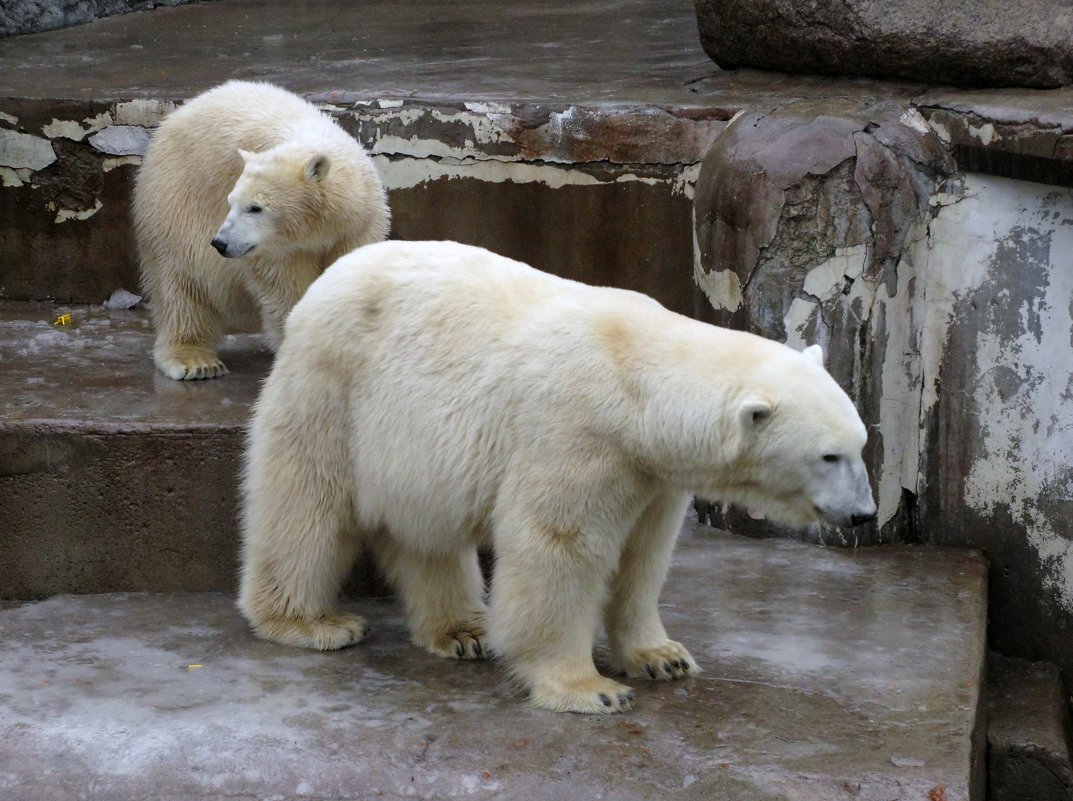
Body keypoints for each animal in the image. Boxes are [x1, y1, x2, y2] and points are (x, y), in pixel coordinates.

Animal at [131, 79, 388, 381]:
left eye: (255, 207)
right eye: (231, 202)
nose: (220, 243)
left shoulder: (359, 225)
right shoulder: (276, 249)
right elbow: (285, 288)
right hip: (174, 202)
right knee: (182, 283)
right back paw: (195, 361)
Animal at [239, 240, 875, 716]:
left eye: (861, 445)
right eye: (828, 456)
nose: (864, 514)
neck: (638, 384)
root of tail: (328, 277)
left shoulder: (652, 473)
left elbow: (644, 555)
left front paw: (663, 656)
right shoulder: (578, 431)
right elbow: (559, 547)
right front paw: (590, 689)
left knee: (427, 532)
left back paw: (462, 630)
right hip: (335, 388)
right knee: (306, 501)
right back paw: (310, 622)